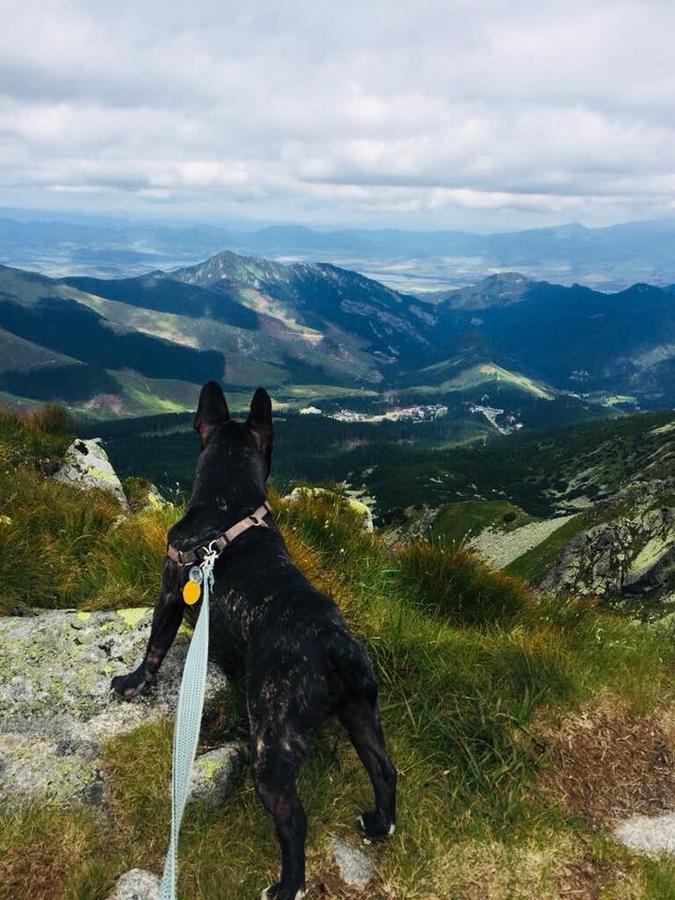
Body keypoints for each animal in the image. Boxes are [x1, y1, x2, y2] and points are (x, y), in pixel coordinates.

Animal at [111, 384, 396, 900]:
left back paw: (286, 886)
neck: (230, 505)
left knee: (292, 817)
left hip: (272, 741)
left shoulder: (169, 593)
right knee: (384, 770)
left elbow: (155, 646)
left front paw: (133, 682)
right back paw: (380, 823)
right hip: (363, 715)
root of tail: (335, 647)